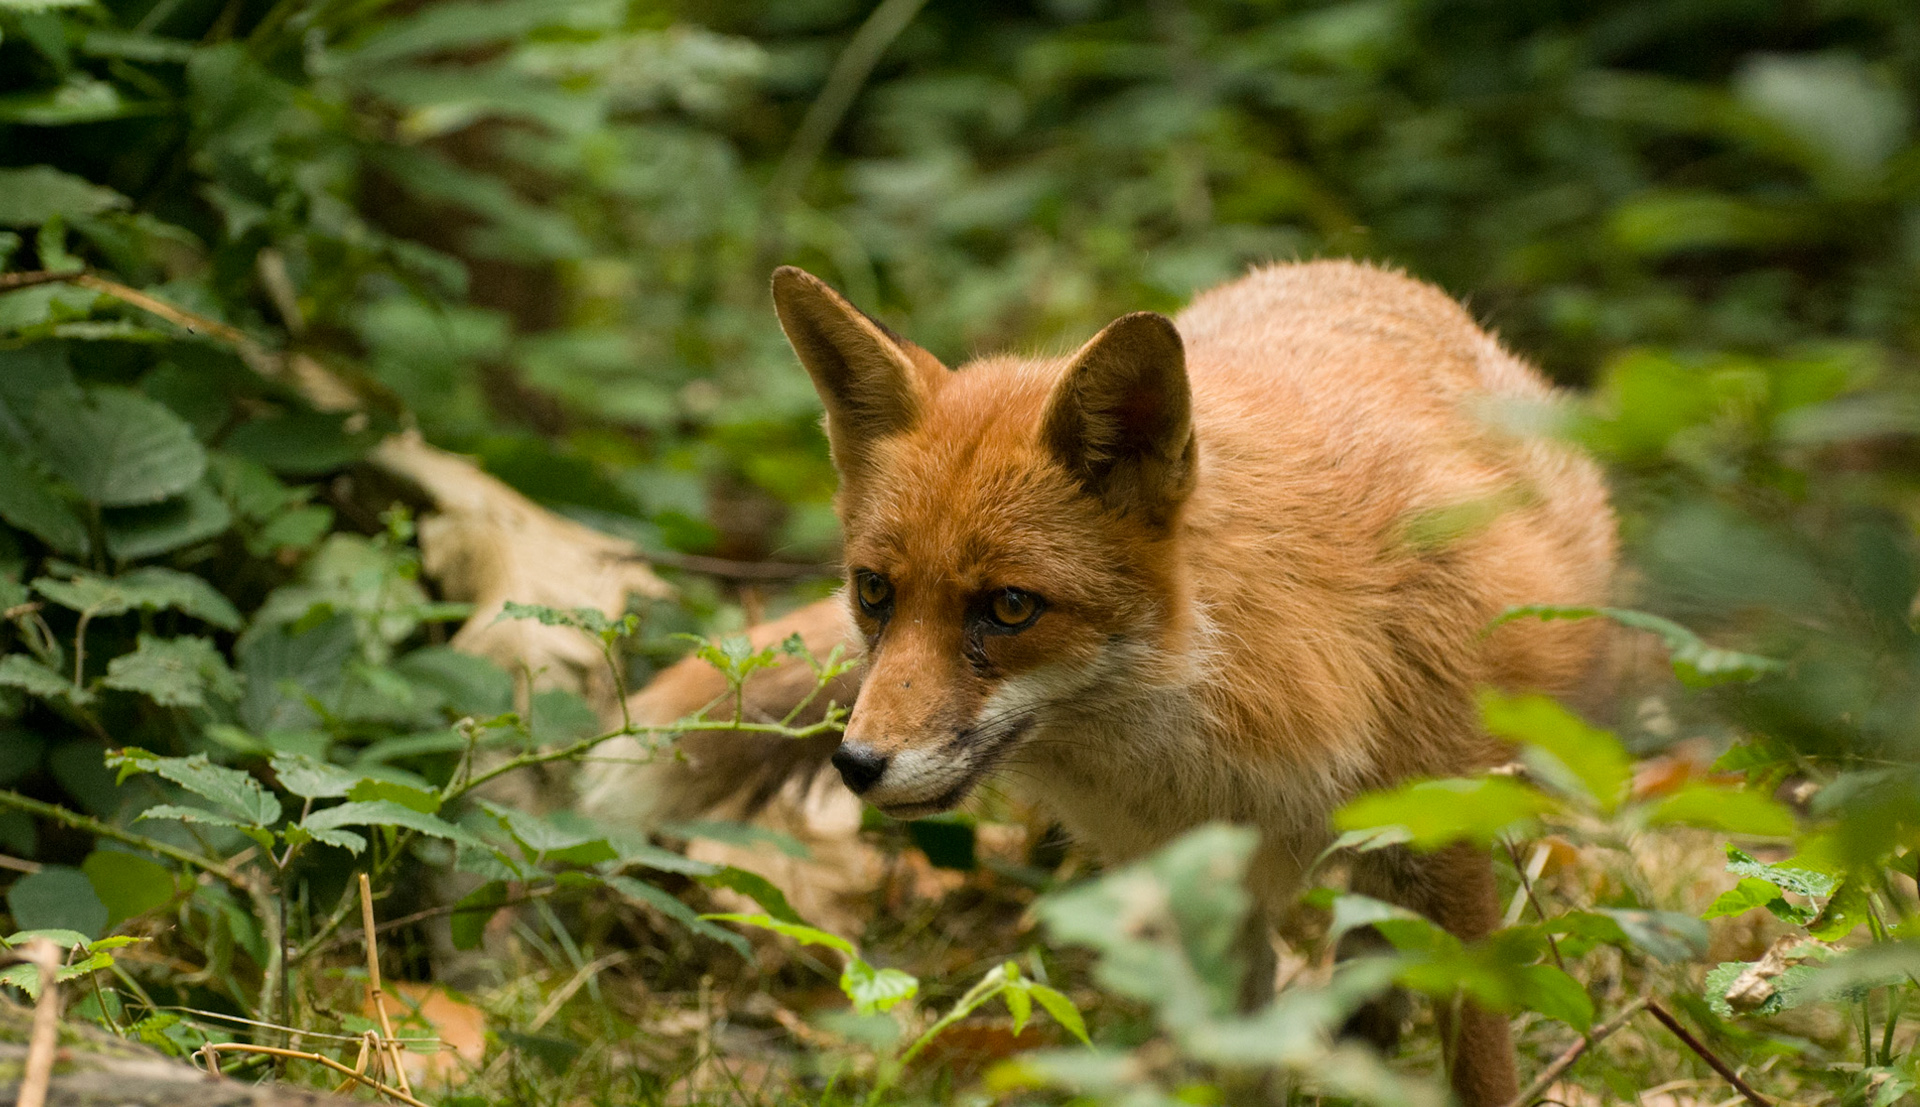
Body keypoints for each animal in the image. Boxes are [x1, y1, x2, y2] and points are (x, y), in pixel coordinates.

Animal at [590, 260, 1616, 1105]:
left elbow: (1479, 1055)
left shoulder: (1449, 834)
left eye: (1009, 607)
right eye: (874, 591)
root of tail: (1359, 271)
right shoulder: (1199, 895)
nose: (858, 764)